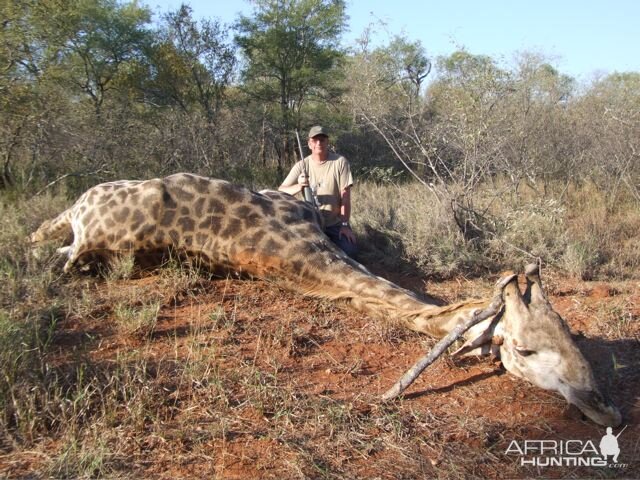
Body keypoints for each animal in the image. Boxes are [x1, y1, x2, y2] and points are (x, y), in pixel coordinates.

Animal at [30, 172, 620, 424]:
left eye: (570, 329)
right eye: (524, 349)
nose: (606, 410)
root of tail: (84, 211)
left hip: (78, 229)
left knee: (51, 243)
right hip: (74, 220)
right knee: (45, 238)